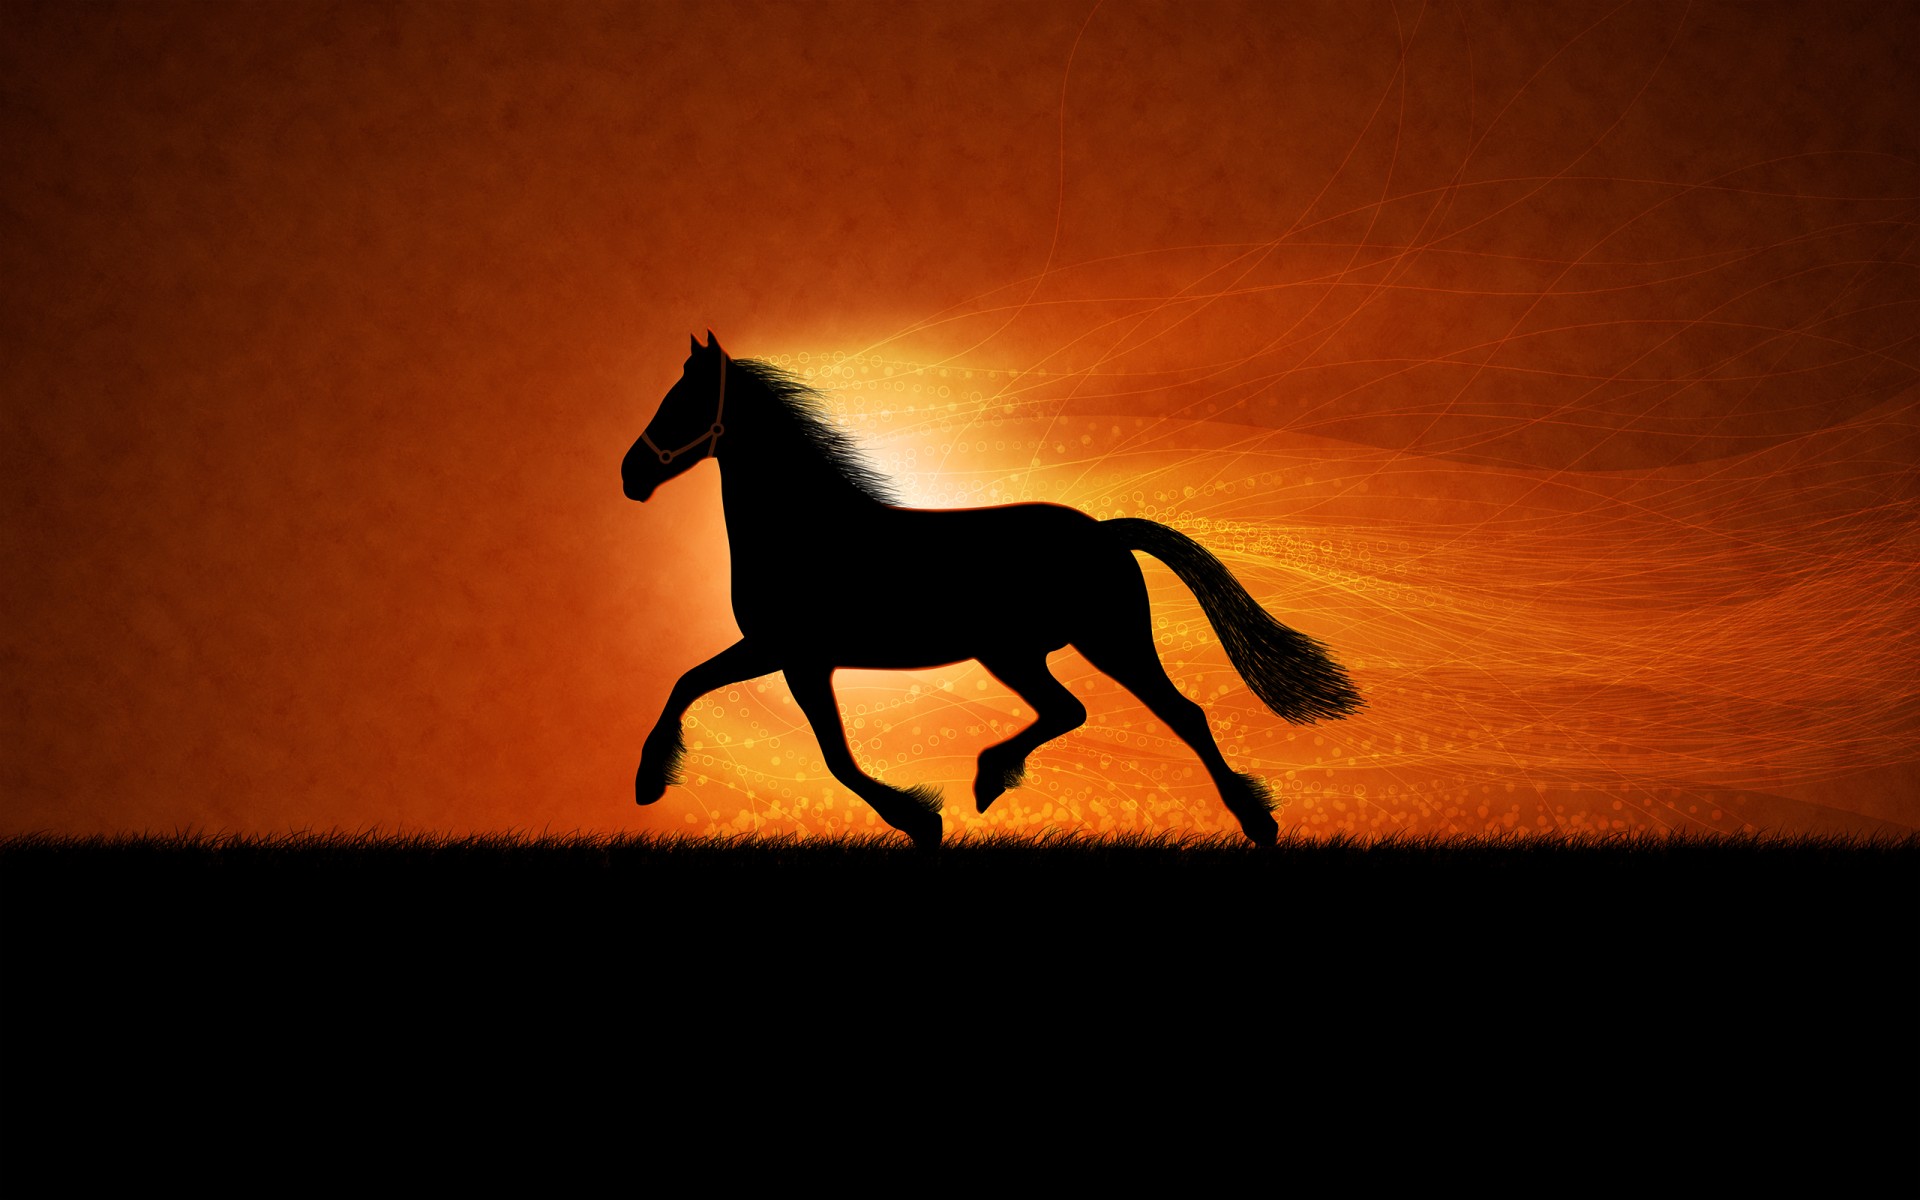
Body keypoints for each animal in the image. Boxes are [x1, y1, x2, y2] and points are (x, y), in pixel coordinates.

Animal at [622, 332, 1363, 849]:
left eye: (682, 403)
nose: (630, 475)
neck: (805, 528)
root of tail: (1104, 532)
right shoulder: (778, 652)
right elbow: (689, 683)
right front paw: (650, 781)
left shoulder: (795, 655)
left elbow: (831, 755)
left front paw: (920, 820)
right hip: (1021, 653)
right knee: (1072, 711)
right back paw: (990, 778)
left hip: (1101, 642)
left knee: (1179, 715)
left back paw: (1255, 823)